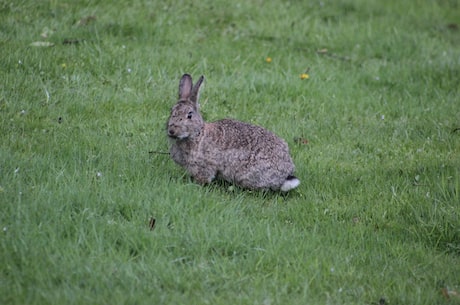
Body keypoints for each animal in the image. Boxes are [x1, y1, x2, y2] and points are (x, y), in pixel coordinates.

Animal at [167, 73, 300, 191]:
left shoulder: (204, 166)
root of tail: (285, 176)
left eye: (189, 115)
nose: (171, 130)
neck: (197, 134)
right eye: (172, 111)